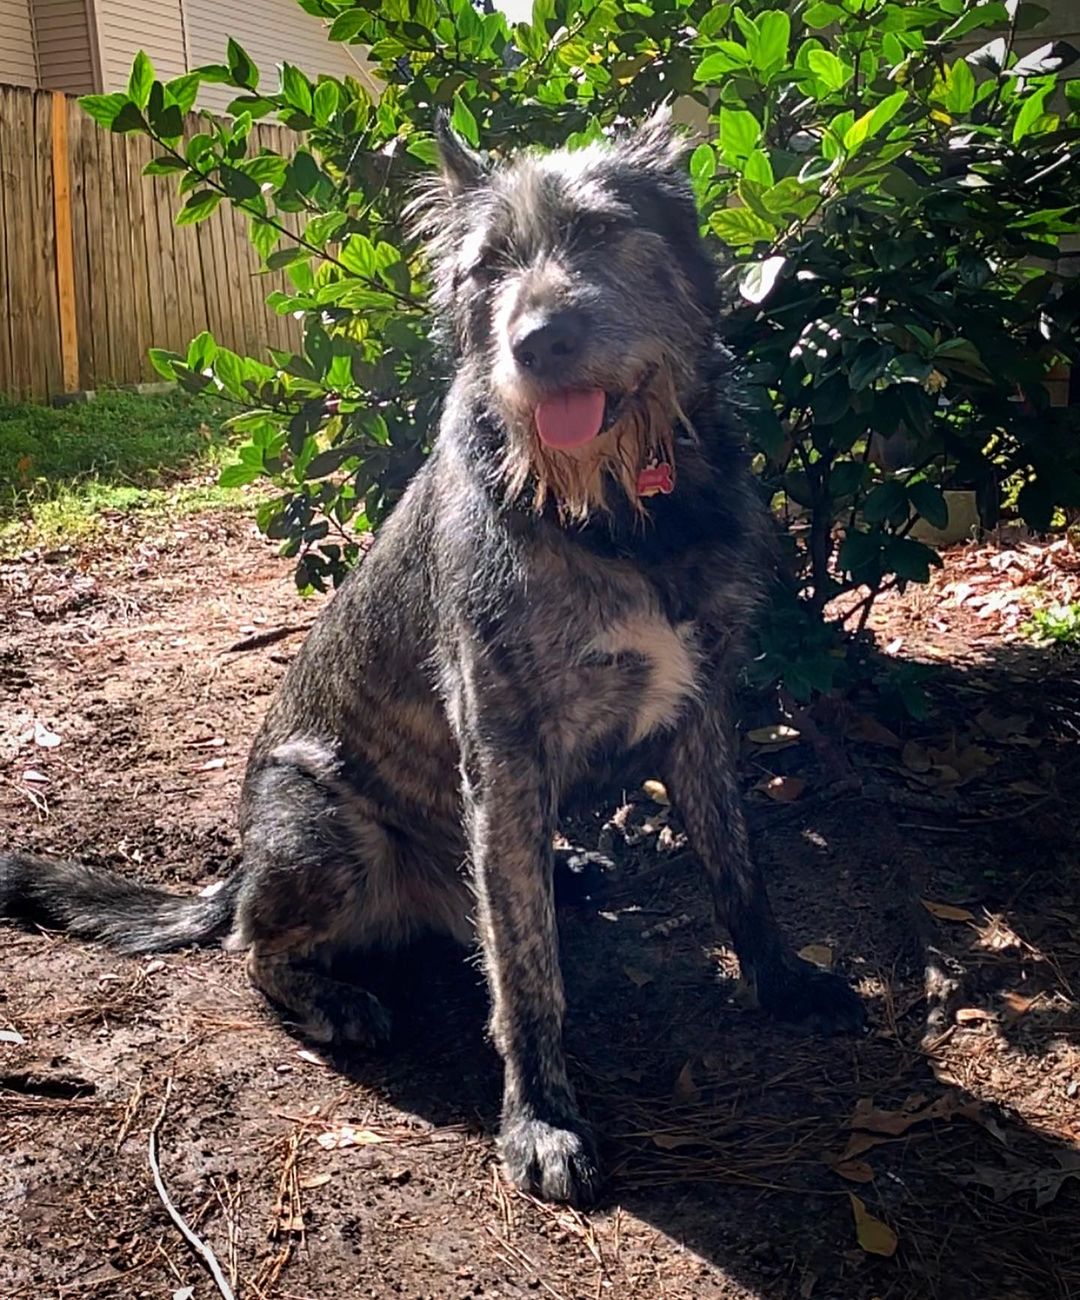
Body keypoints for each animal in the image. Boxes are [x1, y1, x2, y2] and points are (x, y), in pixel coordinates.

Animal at [0, 109, 862, 1206]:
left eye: (601, 232)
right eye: (487, 268)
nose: (536, 344)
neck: (618, 512)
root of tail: (237, 869)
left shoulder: (701, 710)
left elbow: (738, 865)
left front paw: (782, 980)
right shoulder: (502, 751)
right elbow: (528, 976)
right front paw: (541, 1118)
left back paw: (566, 866)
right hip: (325, 827)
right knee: (254, 946)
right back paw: (329, 994)